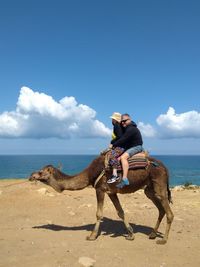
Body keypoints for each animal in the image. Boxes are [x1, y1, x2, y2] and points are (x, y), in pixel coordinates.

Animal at [28, 153, 174, 245]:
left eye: (40, 172)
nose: (31, 176)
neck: (89, 175)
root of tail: (165, 168)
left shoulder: (100, 189)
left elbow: (98, 214)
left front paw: (92, 236)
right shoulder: (112, 192)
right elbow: (120, 212)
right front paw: (131, 234)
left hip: (159, 183)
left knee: (169, 213)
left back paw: (164, 240)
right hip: (149, 189)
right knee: (161, 209)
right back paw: (153, 234)